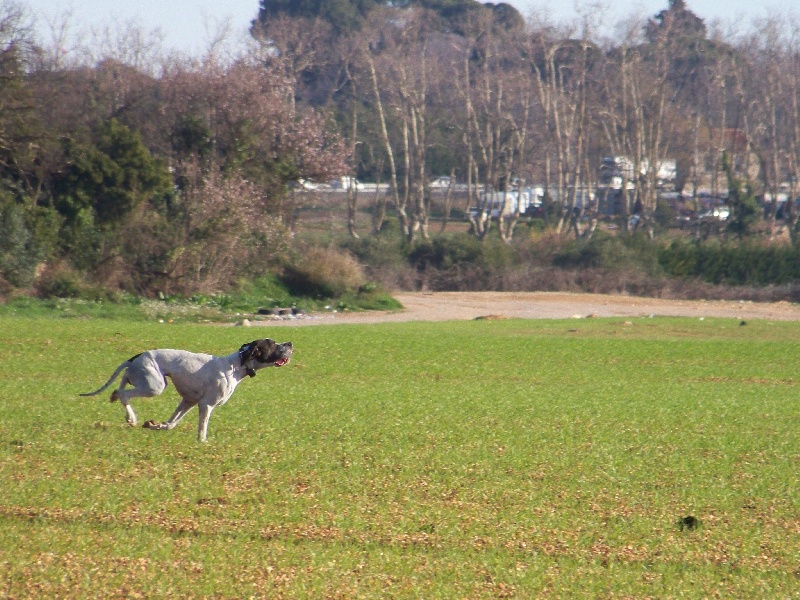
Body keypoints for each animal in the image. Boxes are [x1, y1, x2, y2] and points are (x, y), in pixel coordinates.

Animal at [80, 339, 293, 441]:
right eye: (273, 344)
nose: (290, 344)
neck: (237, 364)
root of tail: (135, 357)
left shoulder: (189, 401)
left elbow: (172, 423)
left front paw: (156, 426)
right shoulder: (206, 405)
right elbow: (202, 428)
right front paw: (202, 441)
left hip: (144, 381)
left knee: (120, 390)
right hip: (155, 386)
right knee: (124, 393)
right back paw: (131, 418)